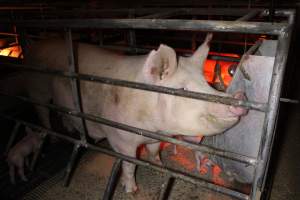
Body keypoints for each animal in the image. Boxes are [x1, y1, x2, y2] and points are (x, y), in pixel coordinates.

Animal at [8, 33, 247, 193]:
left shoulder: (154, 137)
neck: (151, 125)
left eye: (206, 83)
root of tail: (35, 45)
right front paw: (132, 190)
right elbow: (130, 165)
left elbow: (153, 152)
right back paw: (53, 139)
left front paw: (160, 166)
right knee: (42, 111)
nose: (239, 98)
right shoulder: (121, 139)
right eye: (183, 89)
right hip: (37, 89)